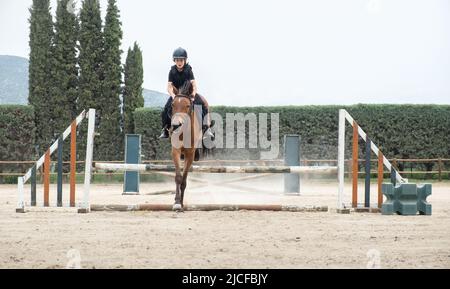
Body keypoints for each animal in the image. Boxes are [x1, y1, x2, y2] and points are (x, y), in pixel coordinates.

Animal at [170, 82, 203, 210]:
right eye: (173, 105)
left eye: (188, 106)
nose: (175, 125)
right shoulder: (176, 151)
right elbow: (178, 177)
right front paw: (177, 202)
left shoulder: (190, 154)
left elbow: (184, 179)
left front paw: (181, 202)